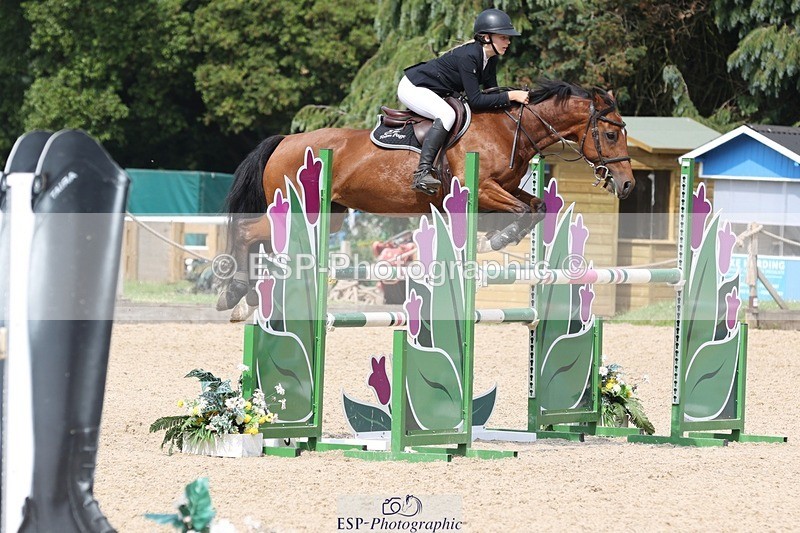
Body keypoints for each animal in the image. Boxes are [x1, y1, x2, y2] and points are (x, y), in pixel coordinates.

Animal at [216, 79, 635, 314]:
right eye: (611, 134)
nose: (628, 185)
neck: (508, 128)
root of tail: (285, 139)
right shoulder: (482, 190)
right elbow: (521, 210)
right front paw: (497, 239)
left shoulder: (503, 188)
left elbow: (535, 206)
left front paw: (497, 238)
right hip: (297, 208)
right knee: (247, 233)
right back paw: (235, 292)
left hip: (326, 215)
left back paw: (247, 299)